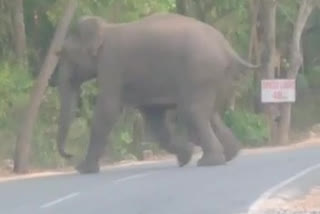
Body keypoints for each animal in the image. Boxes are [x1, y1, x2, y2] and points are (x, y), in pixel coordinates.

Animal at [56, 12, 258, 174]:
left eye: (64, 54)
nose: (69, 154)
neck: (104, 27)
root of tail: (227, 48)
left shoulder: (111, 64)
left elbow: (108, 109)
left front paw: (83, 170)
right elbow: (154, 118)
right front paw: (185, 156)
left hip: (201, 73)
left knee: (193, 111)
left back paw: (210, 162)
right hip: (216, 77)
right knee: (209, 114)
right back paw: (229, 154)